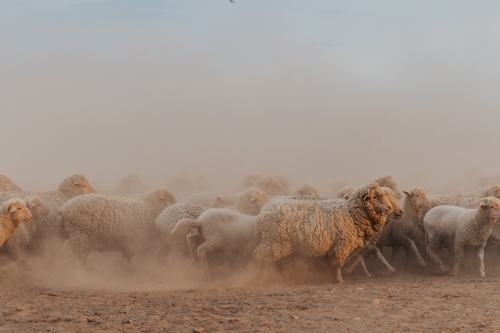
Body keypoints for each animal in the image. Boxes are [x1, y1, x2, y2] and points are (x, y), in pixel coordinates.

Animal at [252, 182, 400, 282]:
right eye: (375, 197)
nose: (390, 207)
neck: (352, 213)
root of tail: (263, 211)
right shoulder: (341, 245)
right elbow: (338, 263)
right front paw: (339, 280)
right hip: (275, 242)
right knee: (259, 256)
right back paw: (261, 276)